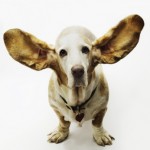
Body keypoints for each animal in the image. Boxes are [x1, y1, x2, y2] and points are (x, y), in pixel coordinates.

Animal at [3, 14, 144, 146]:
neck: (77, 101)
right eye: (62, 52)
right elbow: (63, 122)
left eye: (85, 50)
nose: (77, 71)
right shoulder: (56, 108)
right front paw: (60, 133)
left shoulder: (102, 108)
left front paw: (100, 135)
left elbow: (97, 123)